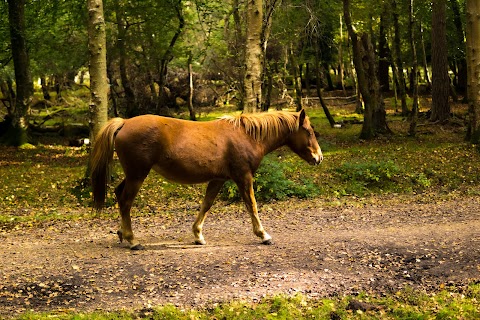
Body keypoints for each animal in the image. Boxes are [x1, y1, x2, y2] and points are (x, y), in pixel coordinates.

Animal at [90, 110, 322, 250]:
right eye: (309, 131)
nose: (318, 158)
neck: (247, 136)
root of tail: (124, 123)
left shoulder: (218, 179)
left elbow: (206, 205)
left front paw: (198, 235)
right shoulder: (243, 176)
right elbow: (252, 205)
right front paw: (263, 234)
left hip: (133, 175)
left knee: (119, 194)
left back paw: (122, 233)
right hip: (138, 175)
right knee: (126, 201)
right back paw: (132, 240)